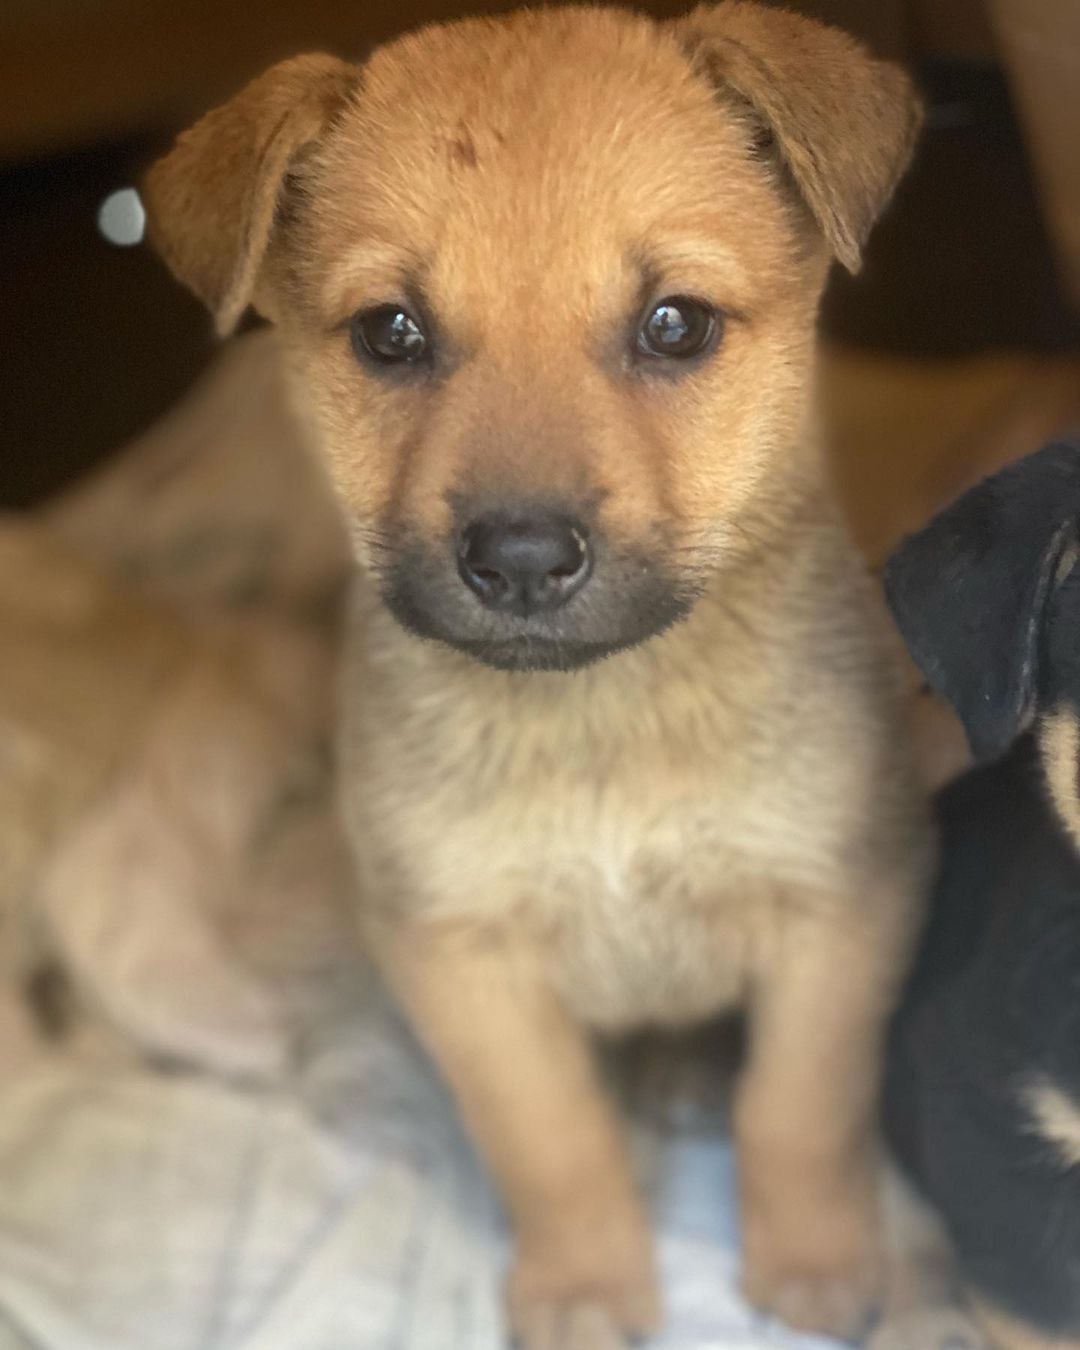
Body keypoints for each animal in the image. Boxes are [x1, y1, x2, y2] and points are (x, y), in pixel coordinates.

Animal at [147, 5, 934, 1344]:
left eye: (676, 324)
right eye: (390, 334)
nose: (518, 558)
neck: (597, 726)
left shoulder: (842, 905)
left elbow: (799, 1105)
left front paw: (817, 1262)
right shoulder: (460, 958)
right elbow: (552, 1140)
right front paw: (584, 1287)